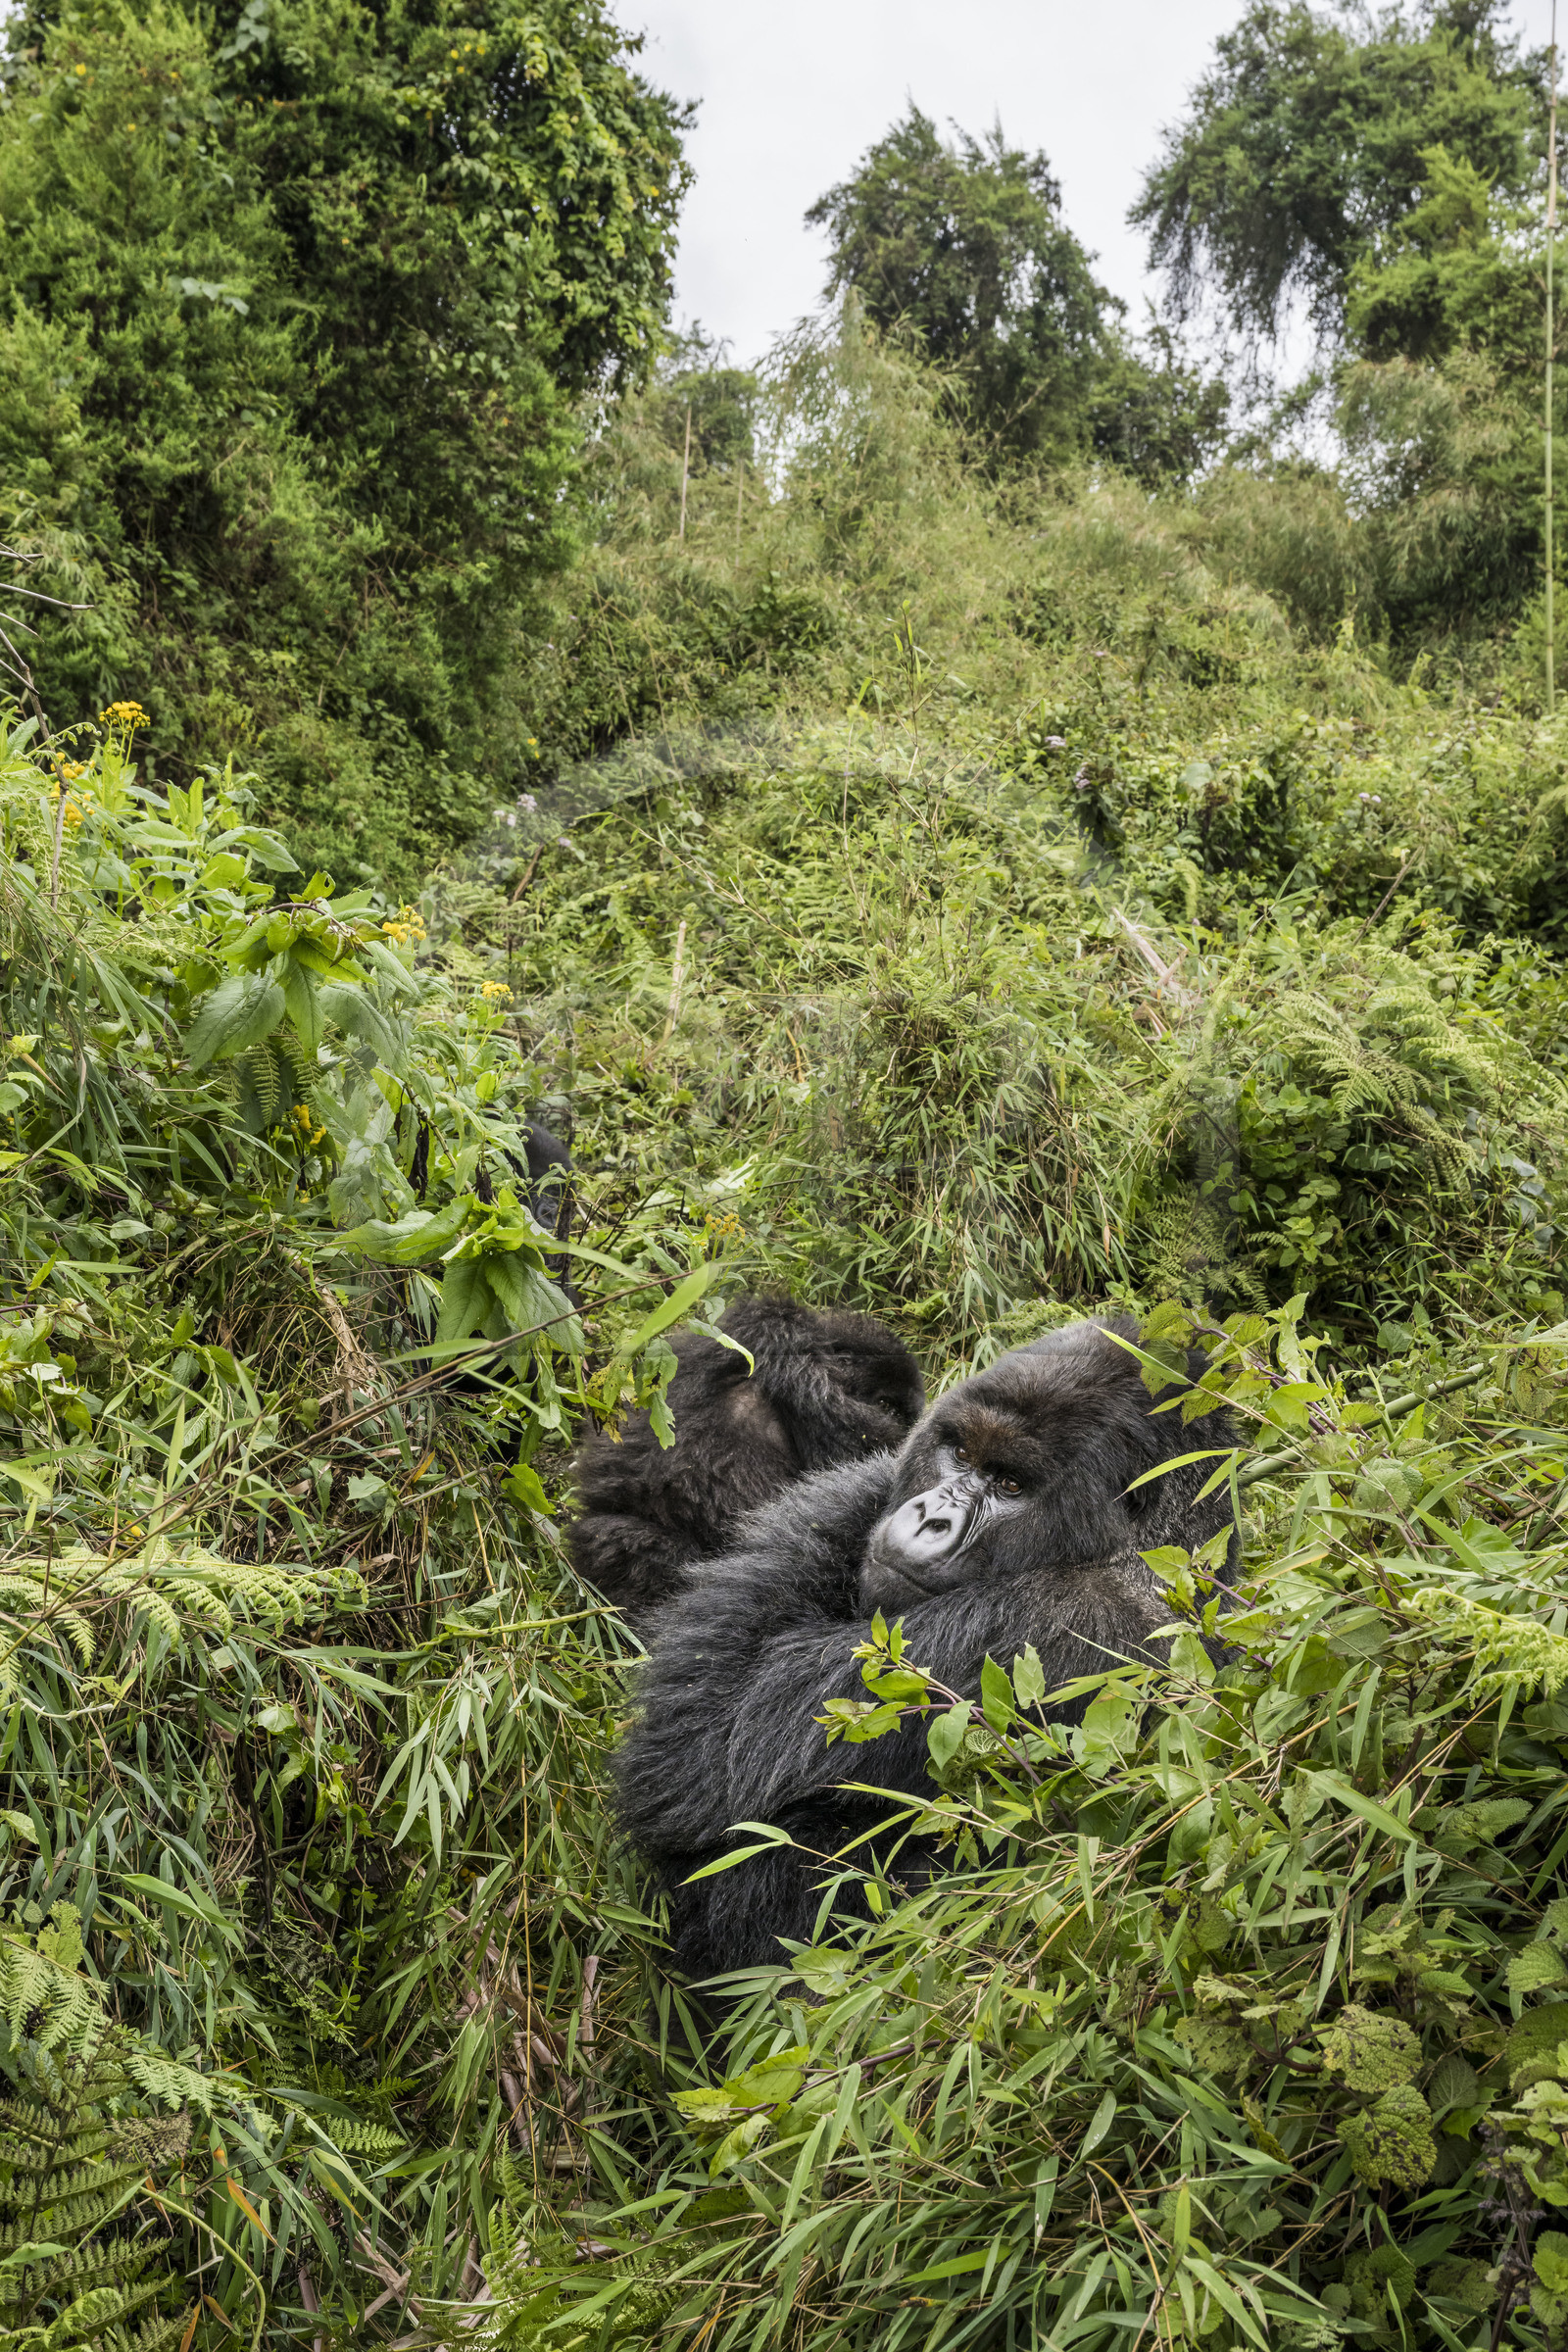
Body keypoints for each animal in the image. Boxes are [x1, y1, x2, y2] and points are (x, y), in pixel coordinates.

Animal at [614, 1316, 1239, 1985]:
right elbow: (698, 1705)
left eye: (1011, 1484)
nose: (930, 1516)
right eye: (960, 1454)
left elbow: (702, 1762)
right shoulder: (862, 1486)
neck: (1147, 1557)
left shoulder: (1063, 1626)